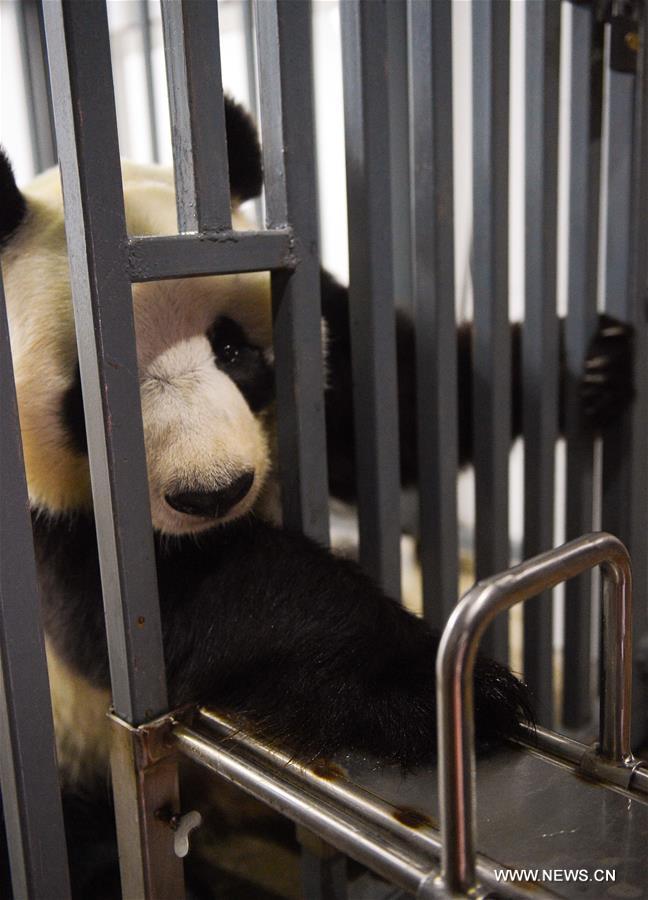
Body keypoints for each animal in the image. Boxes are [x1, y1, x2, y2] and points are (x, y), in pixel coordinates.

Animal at [0, 95, 632, 896]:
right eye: (89, 400)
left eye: (233, 350)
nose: (215, 493)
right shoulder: (42, 520)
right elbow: (201, 596)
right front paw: (445, 692)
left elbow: (403, 404)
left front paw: (593, 364)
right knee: (81, 834)